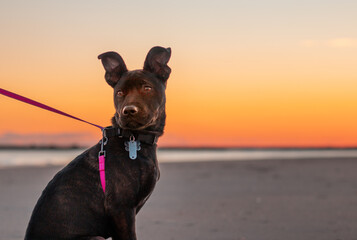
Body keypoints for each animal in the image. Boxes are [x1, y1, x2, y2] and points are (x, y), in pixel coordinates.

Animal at [25, 46, 171, 239]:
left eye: (147, 88)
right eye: (119, 93)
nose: (128, 111)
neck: (135, 140)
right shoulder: (121, 209)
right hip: (96, 237)